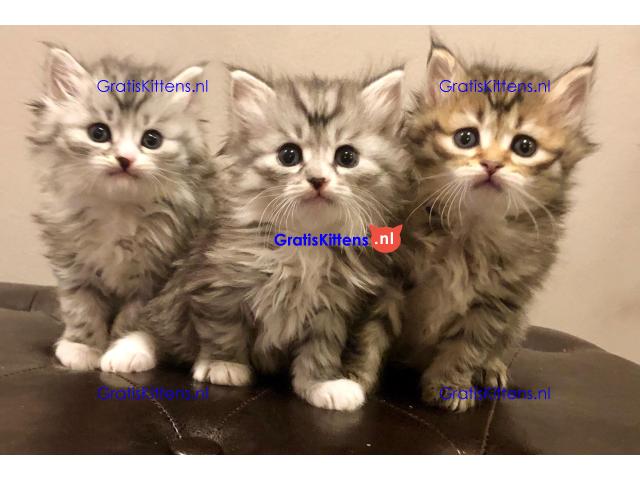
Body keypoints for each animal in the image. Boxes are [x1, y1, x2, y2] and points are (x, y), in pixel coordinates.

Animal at [29, 47, 216, 372]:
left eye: (151, 140)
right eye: (98, 133)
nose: (125, 159)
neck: (117, 208)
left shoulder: (160, 275)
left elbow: (136, 319)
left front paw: (125, 349)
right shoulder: (71, 261)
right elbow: (80, 306)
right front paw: (82, 347)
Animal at [109, 67, 412, 411]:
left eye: (347, 156)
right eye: (289, 155)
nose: (318, 180)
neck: (304, 240)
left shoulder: (333, 309)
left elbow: (320, 351)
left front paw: (323, 385)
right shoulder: (218, 285)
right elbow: (223, 329)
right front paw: (224, 366)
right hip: (171, 299)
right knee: (155, 330)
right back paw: (125, 354)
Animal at [347, 40, 596, 412]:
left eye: (524, 147)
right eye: (466, 138)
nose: (491, 164)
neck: (471, 228)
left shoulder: (498, 300)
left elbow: (468, 345)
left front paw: (450, 386)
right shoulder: (388, 277)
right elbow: (371, 330)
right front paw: (354, 379)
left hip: (517, 319)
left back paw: (491, 369)